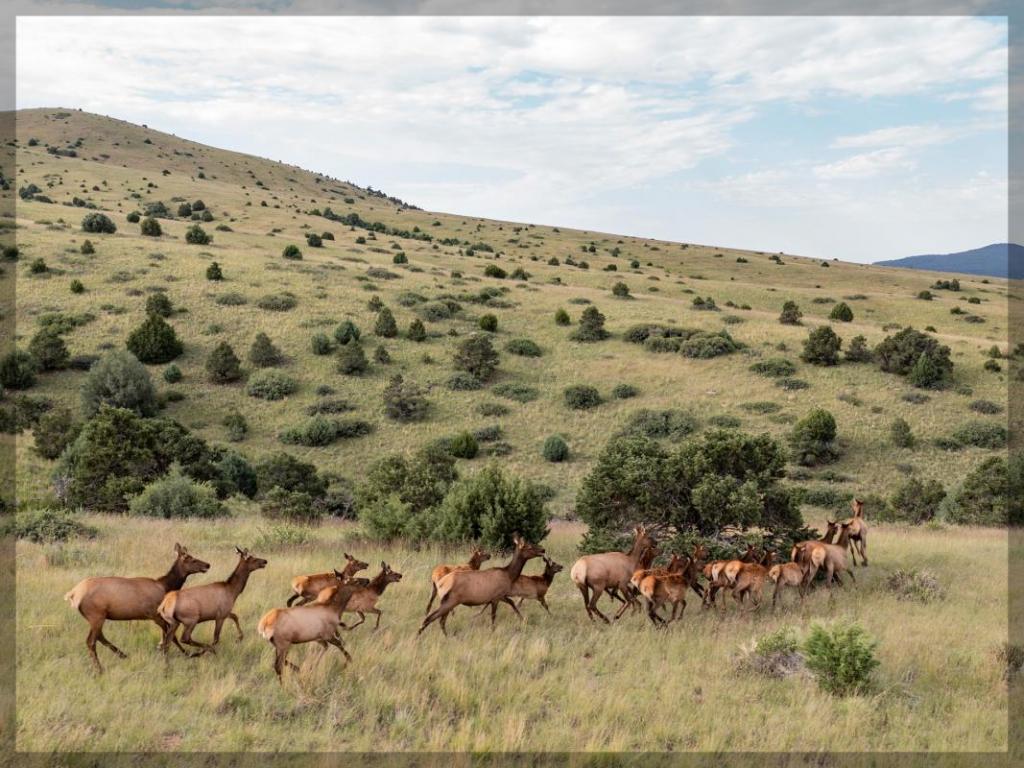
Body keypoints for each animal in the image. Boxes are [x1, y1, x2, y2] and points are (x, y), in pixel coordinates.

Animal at [64, 543, 210, 673]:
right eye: (191, 559)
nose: (208, 564)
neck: (166, 586)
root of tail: (73, 594)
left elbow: (167, 635)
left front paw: (162, 648)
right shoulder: (154, 614)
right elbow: (171, 636)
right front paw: (187, 654)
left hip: (96, 617)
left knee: (99, 636)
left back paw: (122, 655)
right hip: (96, 614)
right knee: (91, 641)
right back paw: (99, 669)